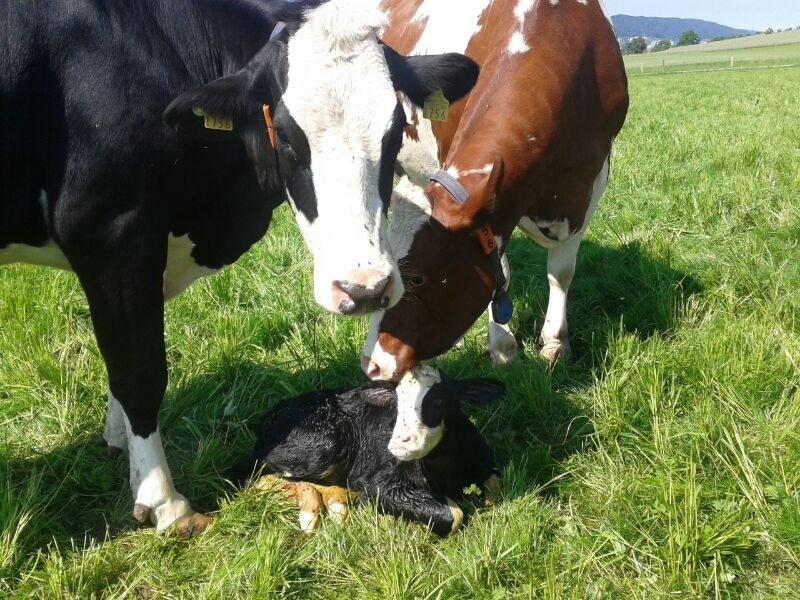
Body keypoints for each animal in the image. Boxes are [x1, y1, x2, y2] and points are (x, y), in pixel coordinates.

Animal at [231, 366, 504, 536]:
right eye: (396, 405)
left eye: (438, 401)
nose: (400, 442)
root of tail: (269, 418)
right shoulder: (382, 482)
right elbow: (454, 514)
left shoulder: (486, 463)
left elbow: (494, 486)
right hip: (323, 443)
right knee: (248, 472)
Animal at [360, 0, 628, 380]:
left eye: (420, 280)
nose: (372, 366)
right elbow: (500, 270)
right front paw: (502, 347)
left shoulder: (588, 183)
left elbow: (561, 271)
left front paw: (555, 343)